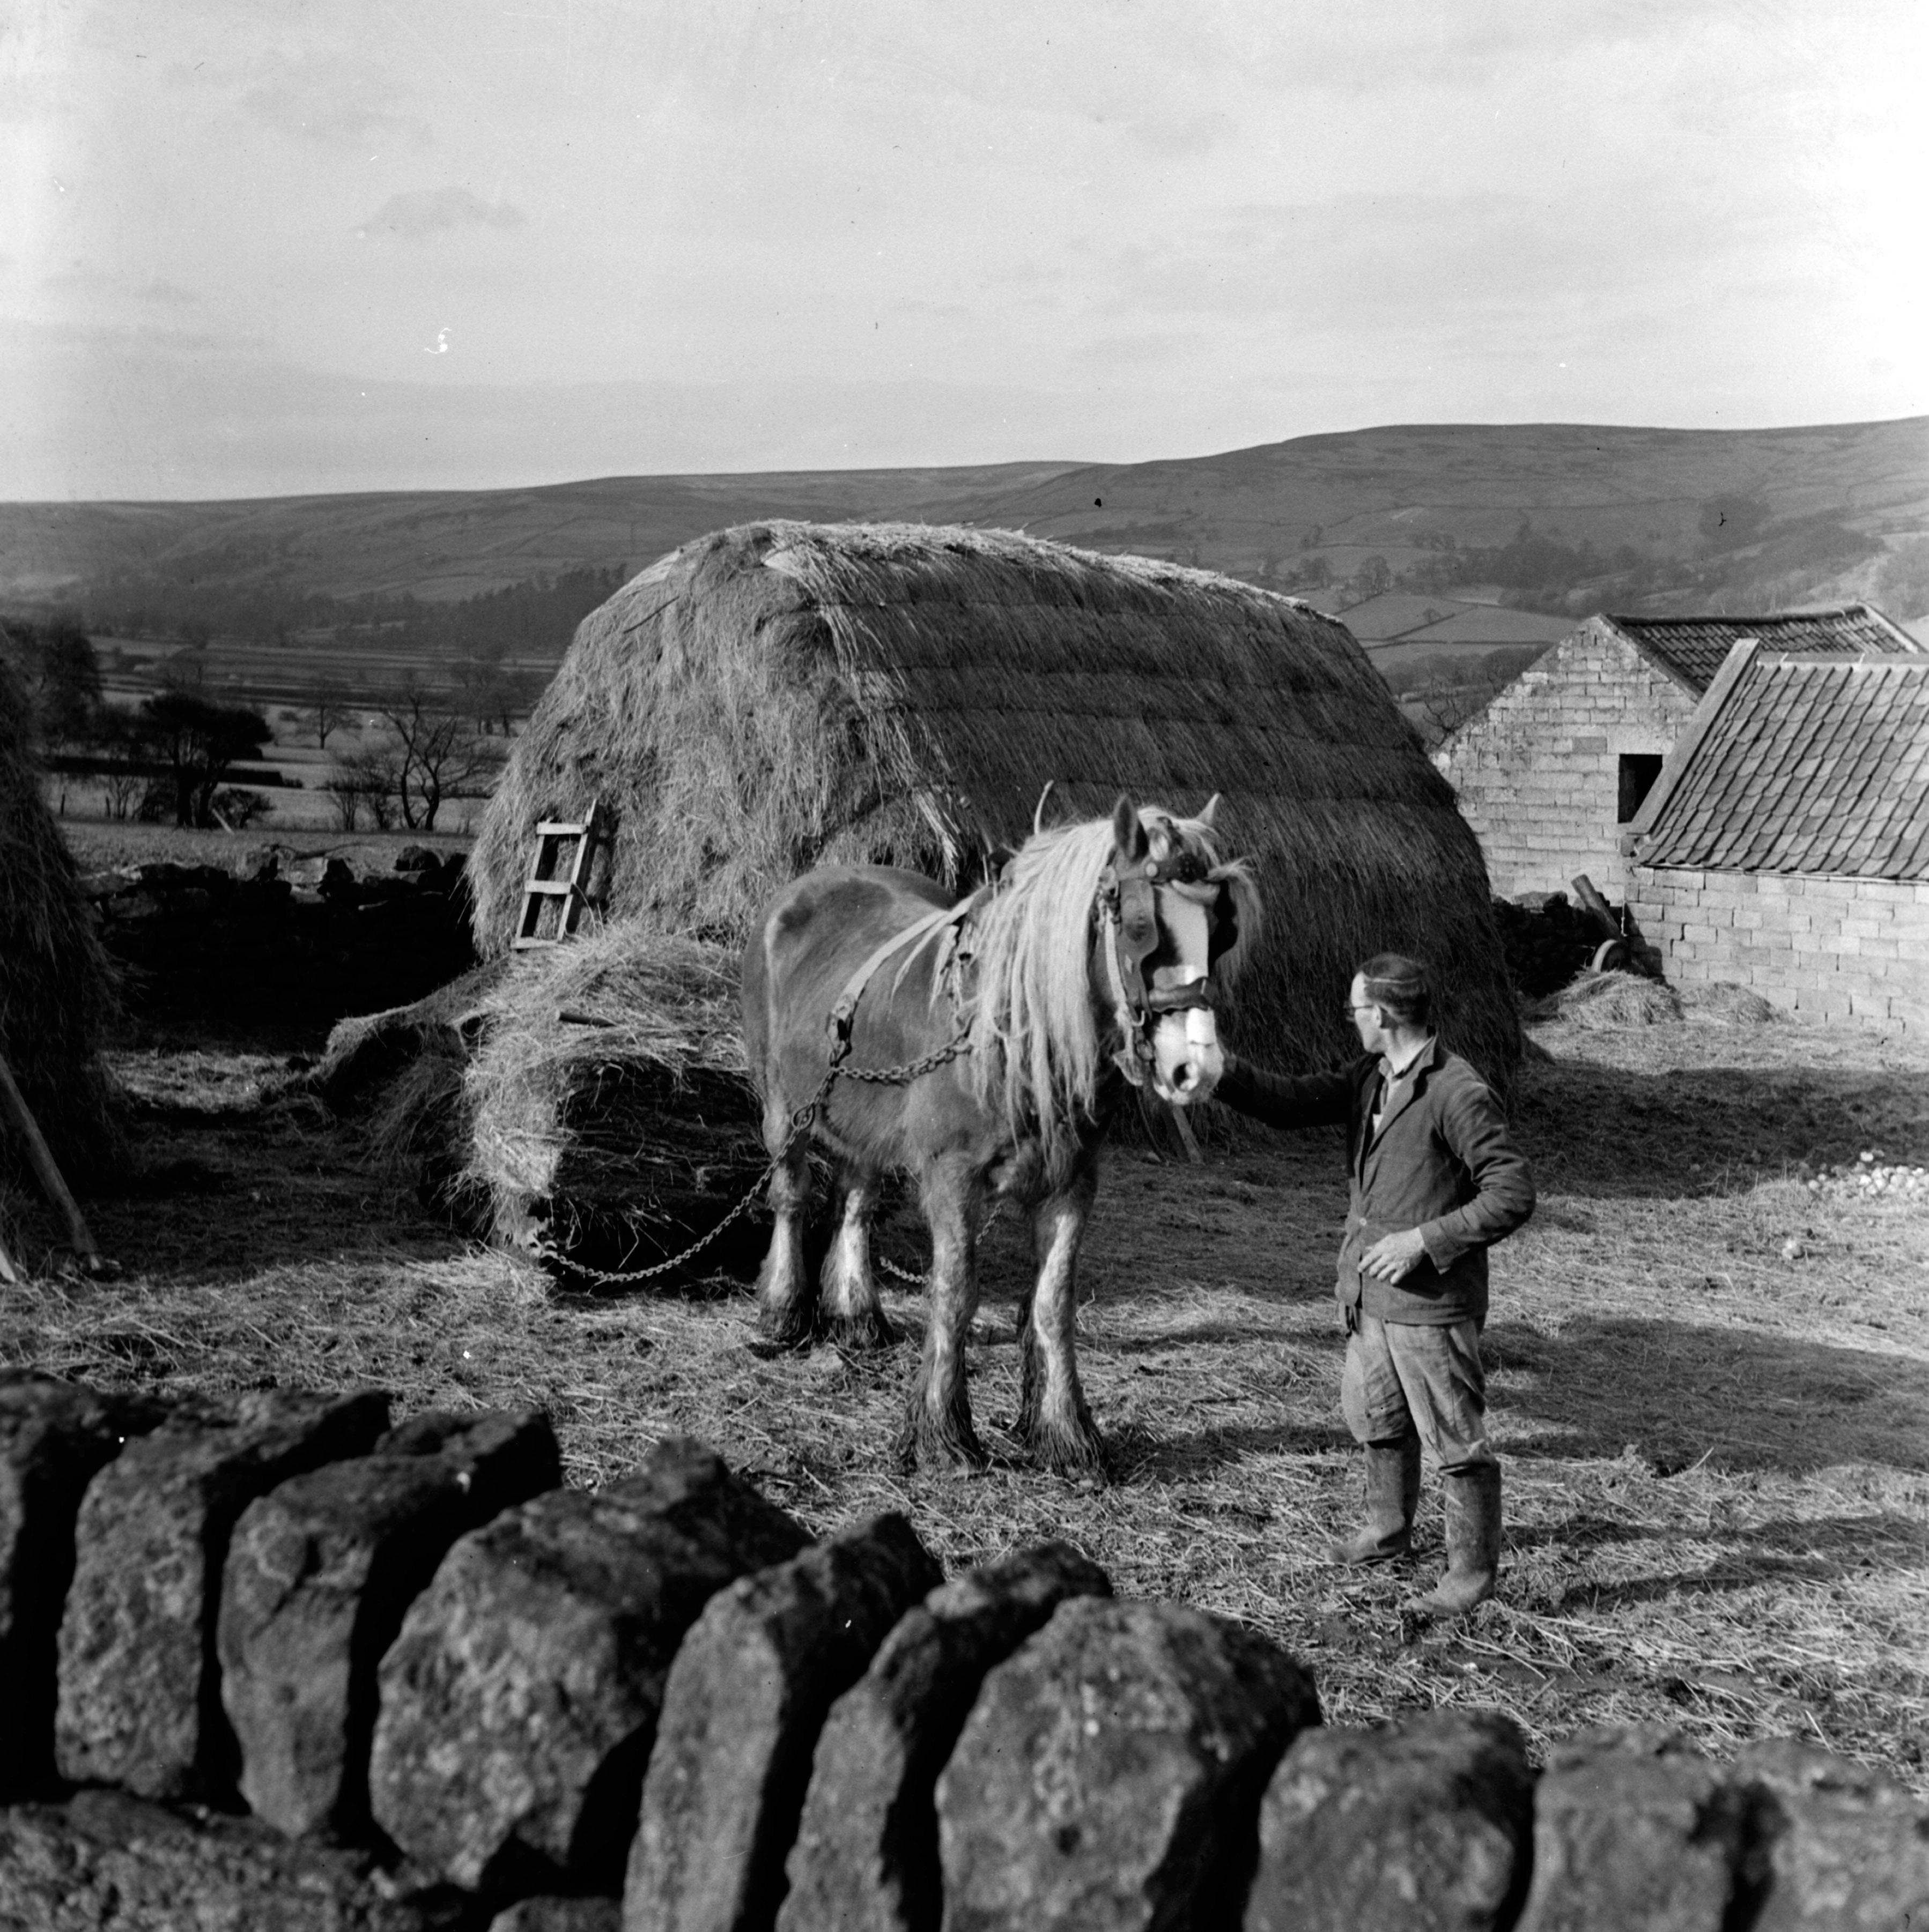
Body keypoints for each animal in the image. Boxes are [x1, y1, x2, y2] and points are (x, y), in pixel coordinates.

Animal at [740, 793, 1260, 1474]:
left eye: (1220, 931)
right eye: (1141, 928)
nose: (1197, 1068)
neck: (1013, 1037)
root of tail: (801, 890)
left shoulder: (1072, 1183)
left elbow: (1053, 1303)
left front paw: (1065, 1433)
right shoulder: (951, 1179)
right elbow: (956, 1293)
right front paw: (941, 1434)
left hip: (865, 1121)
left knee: (855, 1201)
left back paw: (856, 1313)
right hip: (785, 1109)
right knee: (793, 1196)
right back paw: (782, 1310)